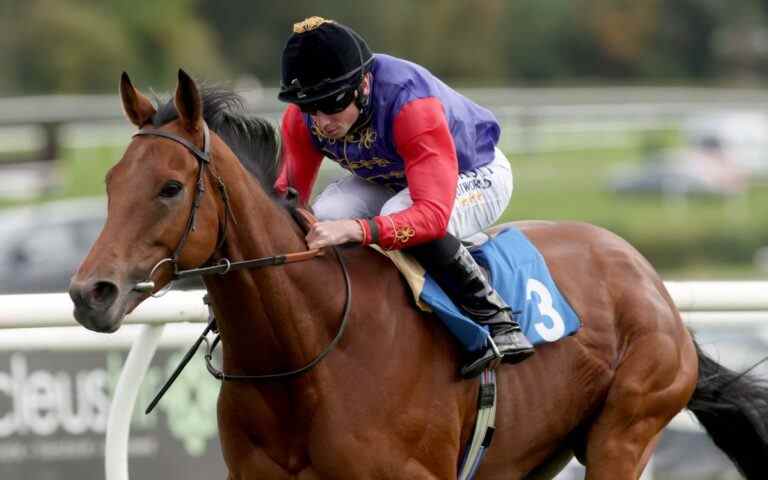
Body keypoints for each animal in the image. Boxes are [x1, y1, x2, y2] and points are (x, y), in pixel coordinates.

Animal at [67, 69, 768, 478]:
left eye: (169, 187)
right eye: (110, 181)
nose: (89, 293)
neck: (307, 347)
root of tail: (650, 281)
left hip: (624, 433)